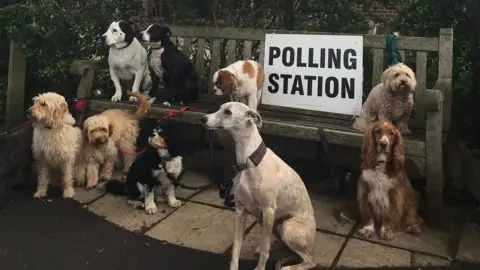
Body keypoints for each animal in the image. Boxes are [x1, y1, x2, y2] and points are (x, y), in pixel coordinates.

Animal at [201, 102, 316, 270]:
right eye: (220, 107)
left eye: (228, 112)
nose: (203, 119)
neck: (249, 162)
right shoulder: (240, 211)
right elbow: (236, 246)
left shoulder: (268, 211)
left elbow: (264, 249)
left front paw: (260, 267)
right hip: (271, 224)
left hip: (287, 226)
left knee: (310, 260)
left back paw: (289, 266)